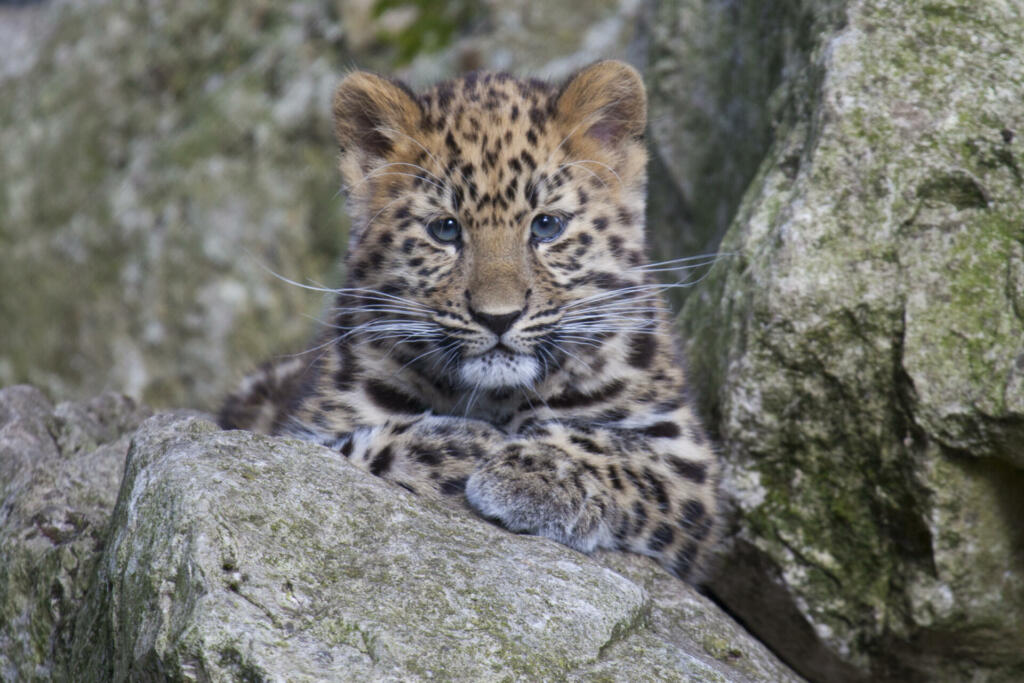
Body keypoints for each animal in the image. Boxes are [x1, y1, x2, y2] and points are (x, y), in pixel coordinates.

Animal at [219, 60, 721, 582]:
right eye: (445, 229)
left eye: (547, 226)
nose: (498, 317)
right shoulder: (300, 433)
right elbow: (347, 452)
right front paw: (469, 446)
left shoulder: (686, 455)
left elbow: (612, 448)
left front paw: (530, 472)